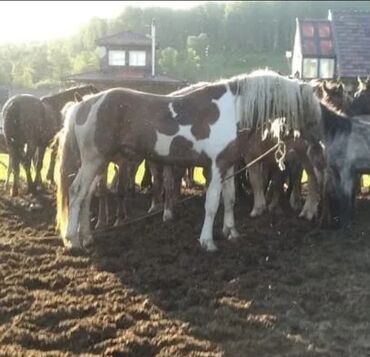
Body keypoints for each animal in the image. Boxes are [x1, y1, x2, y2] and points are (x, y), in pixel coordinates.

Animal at [55, 69, 324, 250]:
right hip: (93, 160)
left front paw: (231, 231)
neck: (233, 109)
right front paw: (207, 241)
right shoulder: (215, 167)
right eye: (312, 108)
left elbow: (229, 199)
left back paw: (87, 236)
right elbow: (212, 204)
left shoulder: (227, 166)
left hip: (100, 162)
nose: (320, 141)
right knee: (77, 192)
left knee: (87, 195)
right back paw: (73, 240)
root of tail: (83, 105)